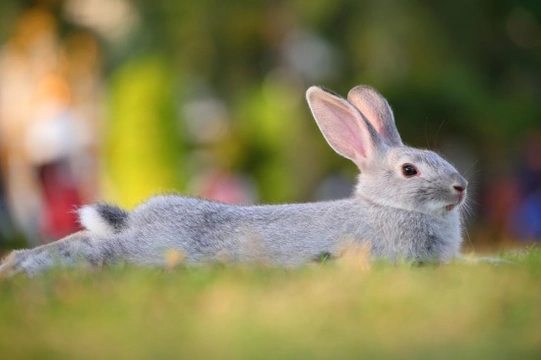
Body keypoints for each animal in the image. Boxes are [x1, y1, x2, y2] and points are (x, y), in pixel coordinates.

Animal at [0, 84, 468, 276]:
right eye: (409, 170)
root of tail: (136, 220)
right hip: (151, 250)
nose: (461, 187)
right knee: (93, 250)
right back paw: (21, 267)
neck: (387, 206)